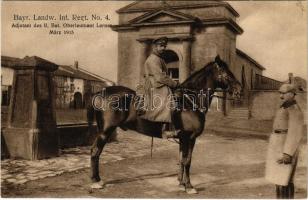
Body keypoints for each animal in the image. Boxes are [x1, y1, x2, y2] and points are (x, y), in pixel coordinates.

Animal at [86, 55, 241, 193]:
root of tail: (100, 92)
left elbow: (182, 159)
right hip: (105, 131)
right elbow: (187, 161)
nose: (239, 90)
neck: (190, 100)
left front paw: (181, 184)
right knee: (95, 151)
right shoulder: (189, 138)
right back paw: (96, 182)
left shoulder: (184, 139)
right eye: (225, 73)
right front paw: (189, 186)